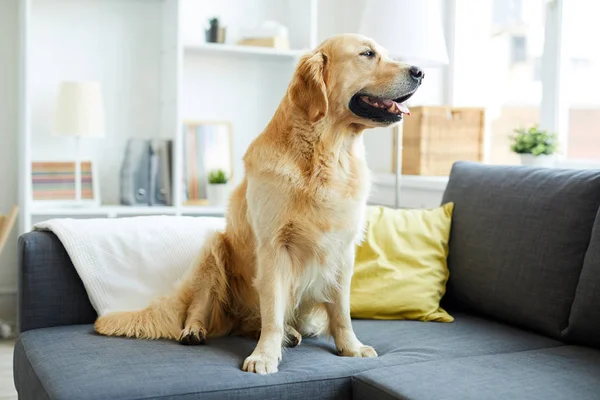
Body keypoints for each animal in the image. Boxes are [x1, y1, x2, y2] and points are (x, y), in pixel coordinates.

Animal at [95, 33, 422, 376]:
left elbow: (341, 312)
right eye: (367, 54)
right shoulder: (274, 247)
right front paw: (265, 355)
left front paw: (352, 347)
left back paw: (290, 334)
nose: (420, 72)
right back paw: (195, 330)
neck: (327, 155)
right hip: (214, 248)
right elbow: (273, 313)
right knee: (201, 306)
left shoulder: (343, 250)